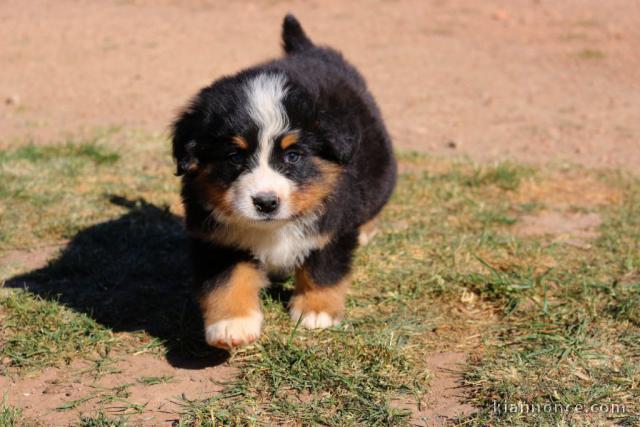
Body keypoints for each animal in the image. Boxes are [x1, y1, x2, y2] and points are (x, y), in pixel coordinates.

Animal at [172, 14, 398, 352]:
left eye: (292, 156)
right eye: (234, 155)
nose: (266, 202)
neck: (274, 228)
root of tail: (310, 50)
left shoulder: (332, 228)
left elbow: (323, 270)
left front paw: (317, 311)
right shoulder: (218, 238)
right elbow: (226, 280)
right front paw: (231, 325)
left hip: (380, 170)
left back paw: (366, 230)